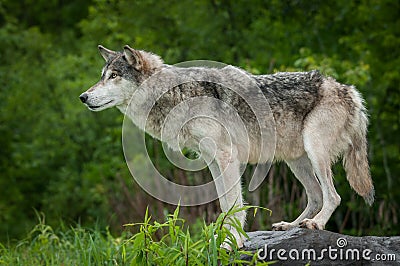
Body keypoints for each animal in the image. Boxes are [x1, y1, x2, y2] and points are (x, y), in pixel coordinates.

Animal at [79, 45, 374, 247]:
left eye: (114, 76)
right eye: (102, 75)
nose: (82, 97)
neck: (175, 95)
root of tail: (348, 89)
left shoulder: (226, 157)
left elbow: (232, 205)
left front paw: (233, 242)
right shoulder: (213, 161)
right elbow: (224, 204)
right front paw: (226, 239)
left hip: (314, 151)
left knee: (333, 196)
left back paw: (315, 224)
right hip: (296, 162)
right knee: (315, 195)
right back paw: (291, 225)